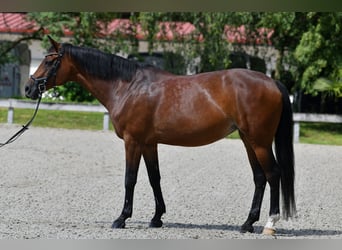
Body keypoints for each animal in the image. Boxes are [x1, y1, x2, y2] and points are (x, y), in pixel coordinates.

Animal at [24, 36, 296, 235]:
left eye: (49, 61)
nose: (28, 88)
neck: (128, 86)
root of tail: (272, 82)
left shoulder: (133, 142)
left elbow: (130, 179)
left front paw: (122, 218)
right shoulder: (148, 143)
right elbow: (155, 178)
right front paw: (156, 218)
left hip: (259, 142)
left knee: (273, 174)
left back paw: (269, 225)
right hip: (248, 140)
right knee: (259, 178)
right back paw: (247, 224)